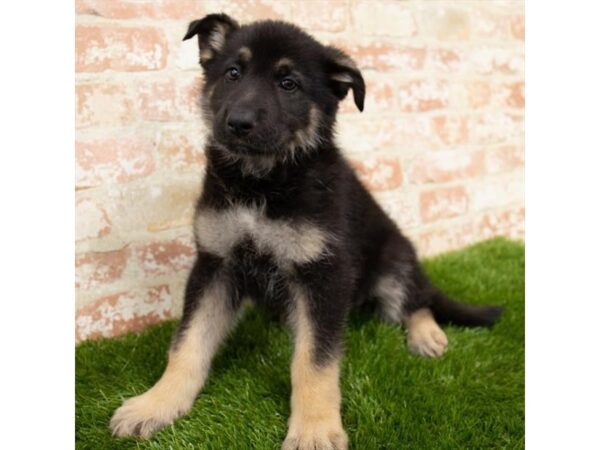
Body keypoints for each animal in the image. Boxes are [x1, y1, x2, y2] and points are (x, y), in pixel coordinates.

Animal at [110, 14, 504, 450]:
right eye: (233, 73)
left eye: (289, 83)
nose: (238, 123)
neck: (263, 183)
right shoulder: (215, 264)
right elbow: (187, 343)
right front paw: (157, 404)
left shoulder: (324, 274)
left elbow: (313, 361)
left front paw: (315, 428)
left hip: (394, 260)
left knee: (416, 300)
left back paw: (425, 334)